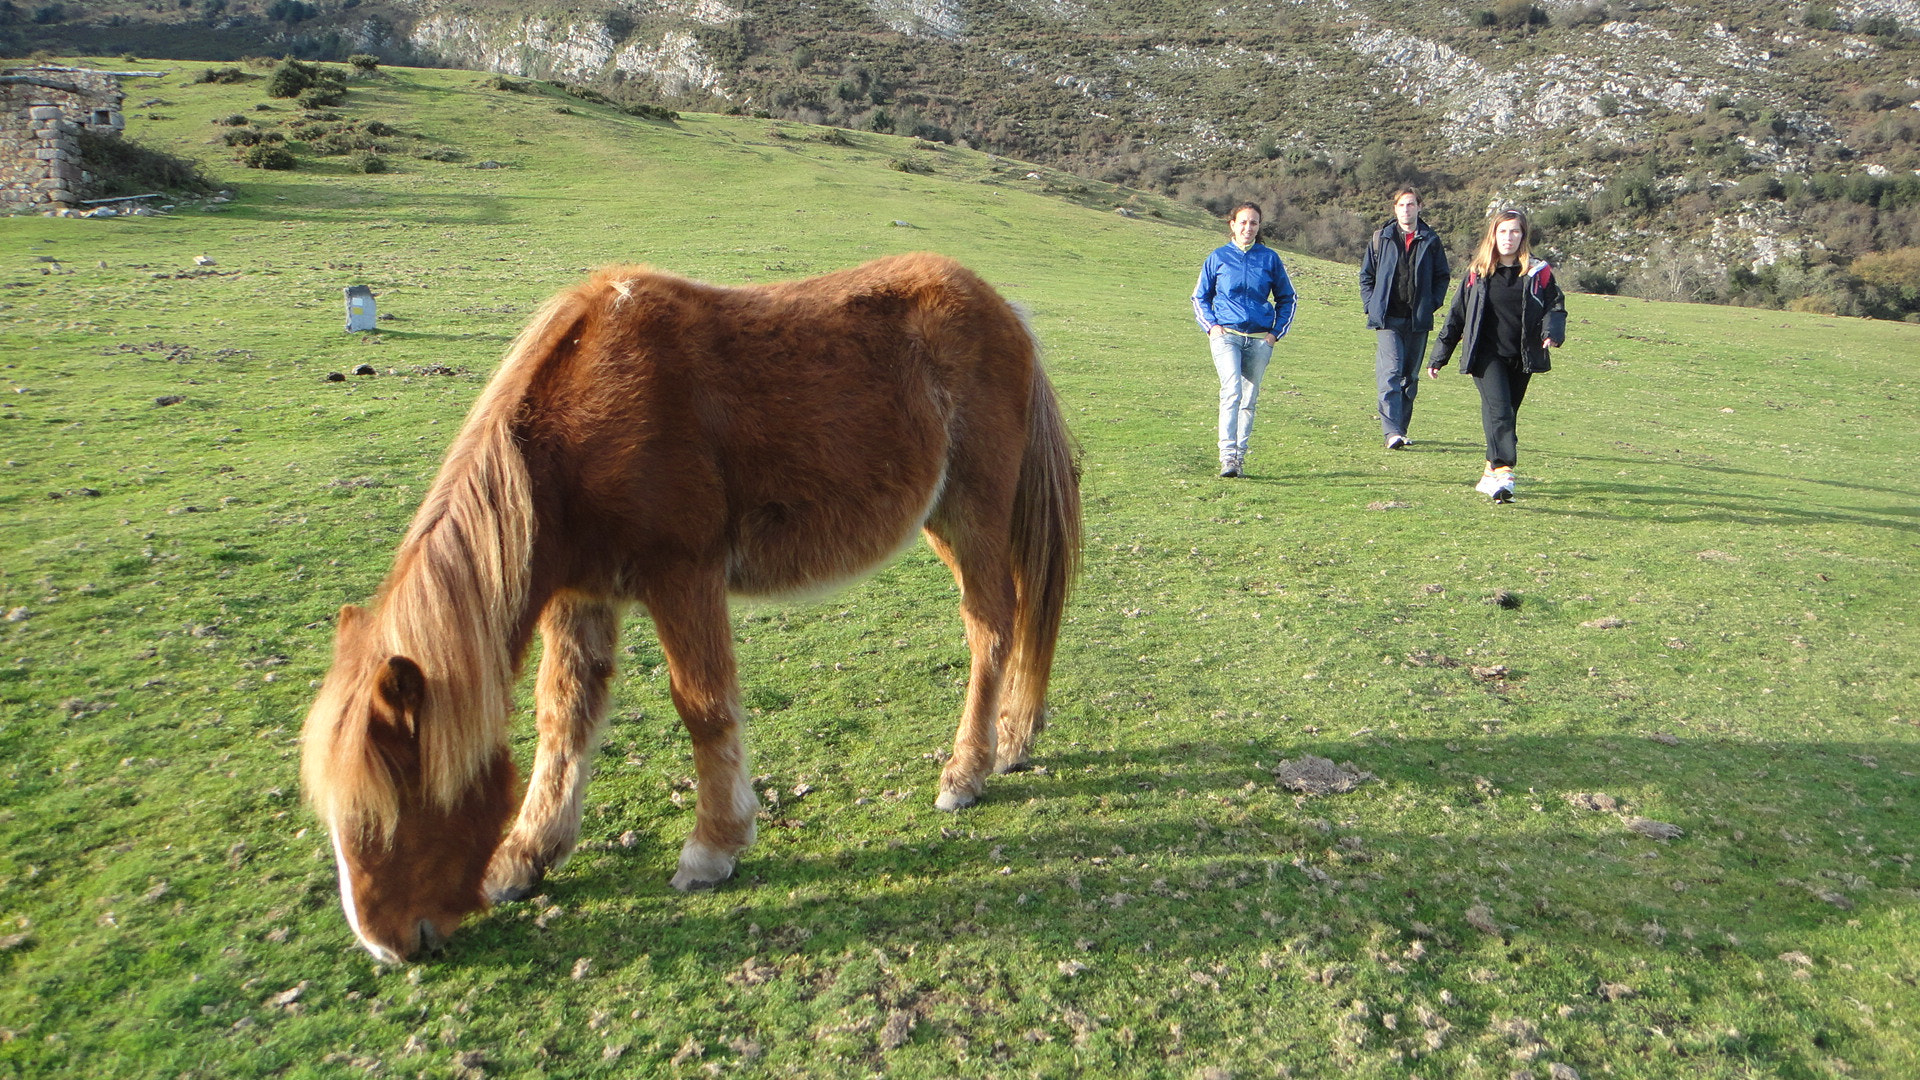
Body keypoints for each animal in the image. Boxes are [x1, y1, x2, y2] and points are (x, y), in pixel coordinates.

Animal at [301, 253, 1082, 957]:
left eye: (393, 804)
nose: (387, 946)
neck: (574, 428)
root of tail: (1006, 312)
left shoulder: (684, 577)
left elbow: (703, 708)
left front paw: (713, 849)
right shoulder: (581, 595)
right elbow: (565, 715)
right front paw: (527, 855)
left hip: (971, 514)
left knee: (991, 629)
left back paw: (967, 772)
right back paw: (1015, 739)